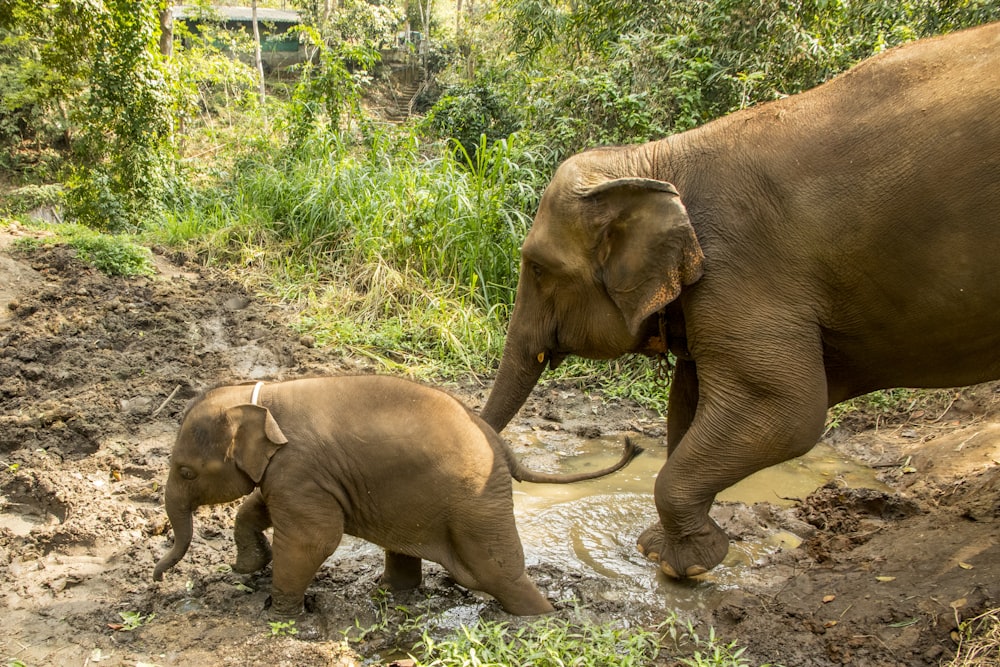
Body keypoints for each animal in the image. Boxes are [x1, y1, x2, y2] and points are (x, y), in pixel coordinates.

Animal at [155, 376, 640, 616]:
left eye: (186, 471)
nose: (158, 580)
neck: (257, 395)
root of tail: (501, 445)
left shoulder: (299, 468)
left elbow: (317, 537)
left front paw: (280, 616)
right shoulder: (291, 474)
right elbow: (259, 506)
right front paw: (248, 567)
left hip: (478, 505)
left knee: (500, 573)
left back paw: (542, 619)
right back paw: (391, 591)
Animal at [476, 22, 1000, 580]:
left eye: (537, 268)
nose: (630, 444)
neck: (655, 158)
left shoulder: (744, 267)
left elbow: (783, 408)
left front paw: (684, 566)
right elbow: (688, 401)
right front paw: (661, 552)